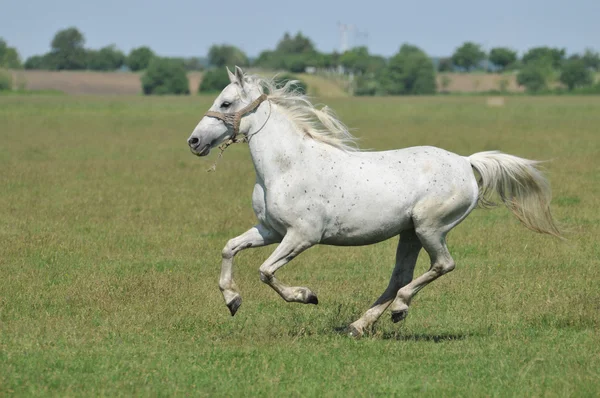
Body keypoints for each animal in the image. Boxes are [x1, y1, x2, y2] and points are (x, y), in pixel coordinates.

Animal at [186, 67, 556, 338]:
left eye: (226, 103)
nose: (194, 141)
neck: (287, 166)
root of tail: (466, 162)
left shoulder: (302, 236)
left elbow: (265, 272)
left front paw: (307, 296)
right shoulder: (270, 230)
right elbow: (229, 248)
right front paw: (232, 300)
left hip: (430, 228)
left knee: (441, 266)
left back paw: (398, 310)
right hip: (410, 233)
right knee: (400, 276)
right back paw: (359, 325)